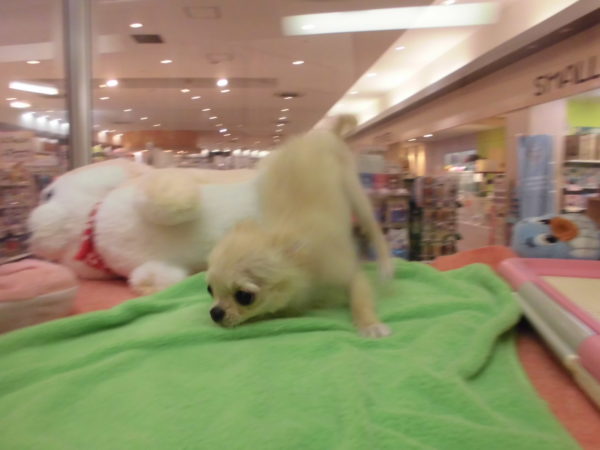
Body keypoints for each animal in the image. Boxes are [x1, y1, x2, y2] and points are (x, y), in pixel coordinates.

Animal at [205, 117, 393, 338]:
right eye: (209, 289)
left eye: (244, 296)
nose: (215, 312)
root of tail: (325, 134)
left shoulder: (349, 273)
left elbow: (360, 299)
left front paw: (370, 324)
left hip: (355, 191)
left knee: (373, 227)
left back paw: (386, 266)